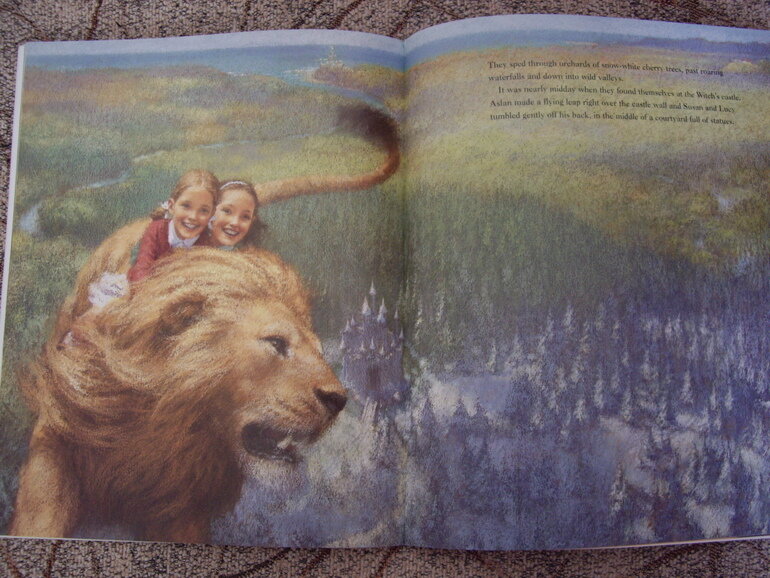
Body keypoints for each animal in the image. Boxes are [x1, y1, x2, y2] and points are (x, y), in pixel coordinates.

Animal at [8, 247, 348, 542]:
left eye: (320, 351)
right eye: (276, 342)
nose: (339, 400)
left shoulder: (181, 508)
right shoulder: (55, 439)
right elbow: (42, 510)